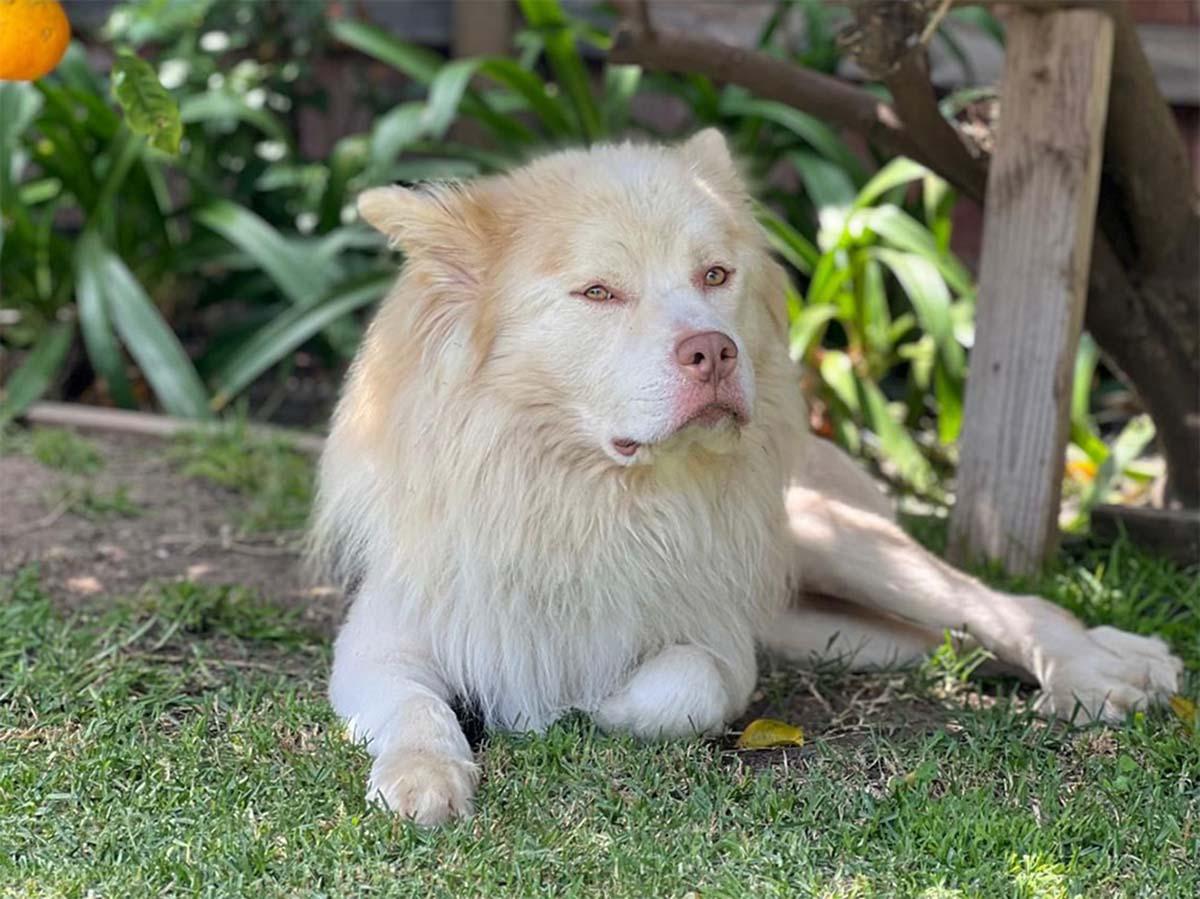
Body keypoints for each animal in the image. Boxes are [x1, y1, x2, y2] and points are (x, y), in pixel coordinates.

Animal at [309, 129, 1180, 825]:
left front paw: (580, 702)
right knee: (944, 644)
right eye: (598, 291)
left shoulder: (722, 649)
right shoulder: (378, 643)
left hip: (842, 543)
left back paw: (1099, 670)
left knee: (1006, 607)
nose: (714, 350)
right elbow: (418, 707)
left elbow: (673, 688)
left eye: (715, 276)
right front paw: (423, 780)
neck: (586, 492)